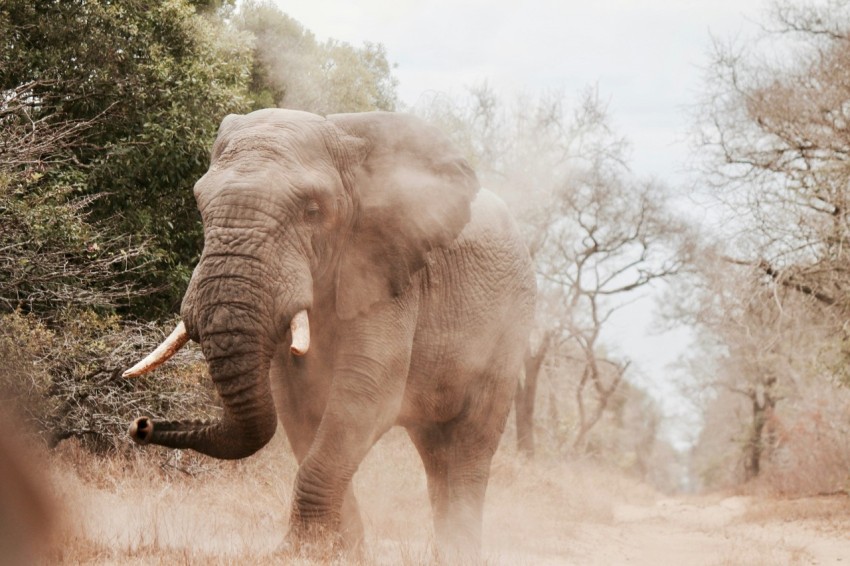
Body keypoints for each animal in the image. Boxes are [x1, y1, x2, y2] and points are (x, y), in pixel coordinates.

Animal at [124, 108, 536, 558]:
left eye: (312, 211)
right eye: (200, 207)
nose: (140, 425)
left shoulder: (388, 274)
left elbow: (365, 396)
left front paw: (298, 553)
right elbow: (297, 406)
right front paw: (339, 553)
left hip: (509, 328)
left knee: (469, 443)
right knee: (435, 449)